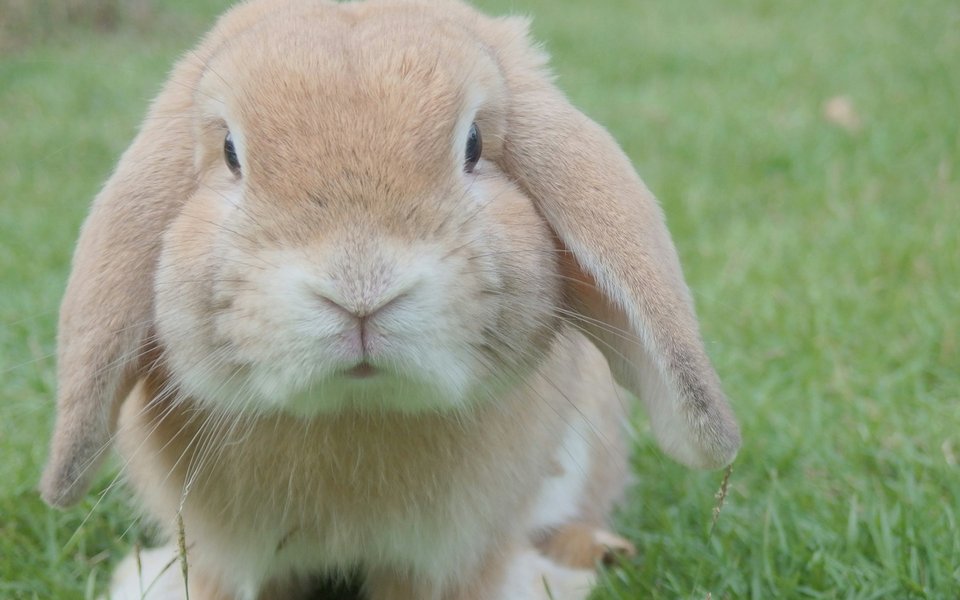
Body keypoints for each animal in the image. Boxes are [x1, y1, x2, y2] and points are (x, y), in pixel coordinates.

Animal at [39, 0, 741, 598]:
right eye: (232, 153)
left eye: (474, 145)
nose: (359, 289)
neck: (356, 411)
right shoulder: (230, 558)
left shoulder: (450, 556)